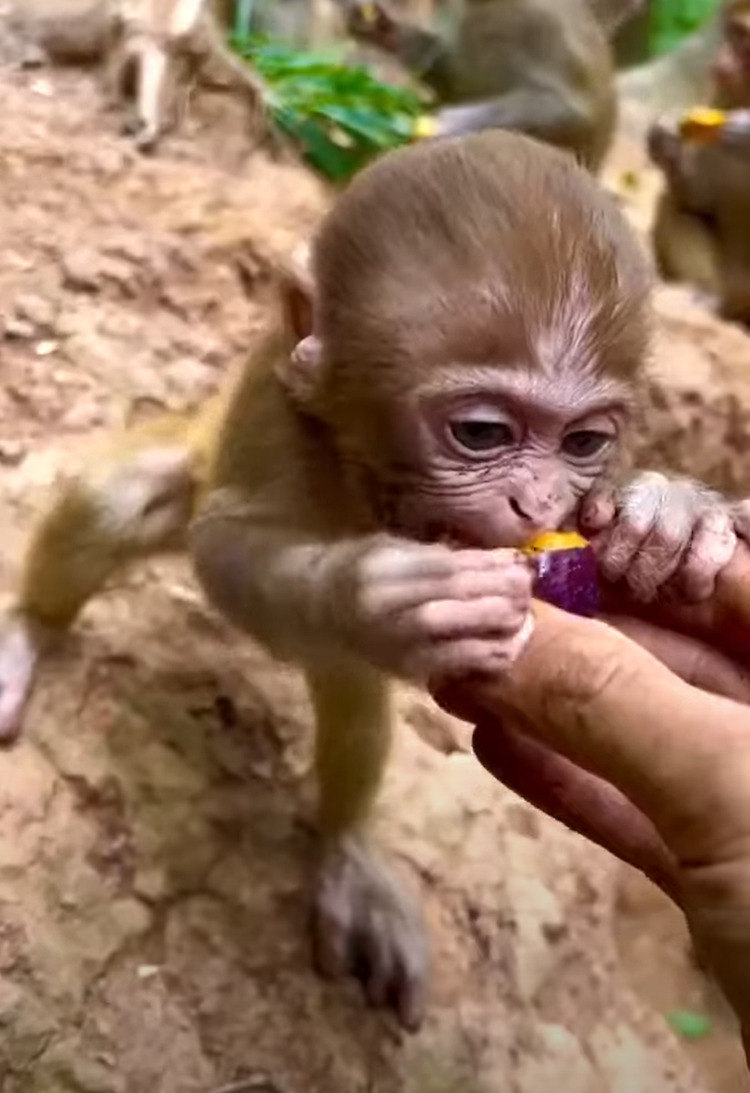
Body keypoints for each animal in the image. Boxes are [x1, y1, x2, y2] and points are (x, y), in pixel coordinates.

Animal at [0, 132, 739, 1027]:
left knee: (350, 692)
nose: (536, 501)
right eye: (481, 433)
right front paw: (374, 596)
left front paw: (669, 513)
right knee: (121, 499)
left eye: (585, 443)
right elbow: (226, 546)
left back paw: (345, 845)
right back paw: (27, 634)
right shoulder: (279, 406)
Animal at [647, 0, 750, 321]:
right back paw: (705, 294)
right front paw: (665, 143)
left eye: (742, 37)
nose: (719, 60)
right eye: (730, 32)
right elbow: (698, 200)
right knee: (677, 208)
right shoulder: (724, 94)